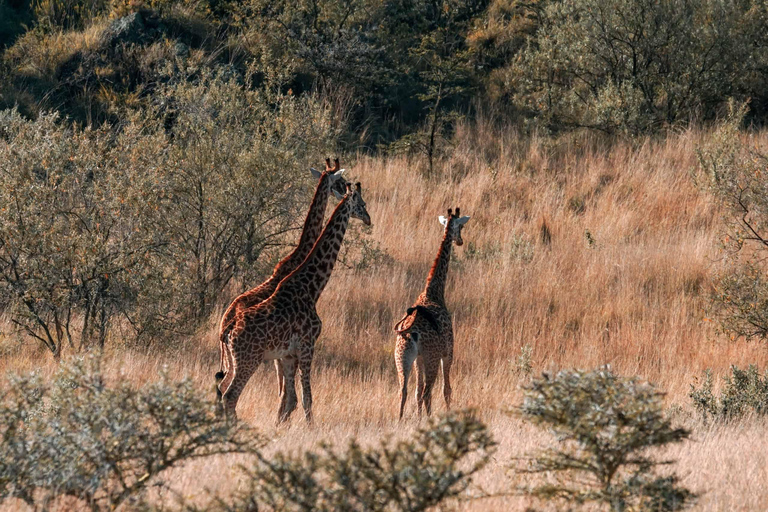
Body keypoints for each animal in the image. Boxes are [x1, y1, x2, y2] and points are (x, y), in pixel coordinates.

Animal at [219, 182, 372, 422]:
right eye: (362, 204)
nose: (368, 219)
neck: (311, 287)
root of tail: (227, 329)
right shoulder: (308, 345)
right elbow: (307, 398)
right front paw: (311, 427)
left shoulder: (289, 354)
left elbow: (291, 398)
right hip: (248, 360)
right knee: (230, 395)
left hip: (234, 361)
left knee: (222, 390)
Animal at [396, 208, 468, 420]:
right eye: (461, 227)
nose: (460, 241)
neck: (433, 291)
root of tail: (412, 333)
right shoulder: (448, 352)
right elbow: (446, 390)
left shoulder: (418, 359)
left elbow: (417, 391)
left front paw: (419, 417)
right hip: (432, 357)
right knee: (429, 391)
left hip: (403, 357)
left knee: (404, 390)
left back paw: (399, 420)